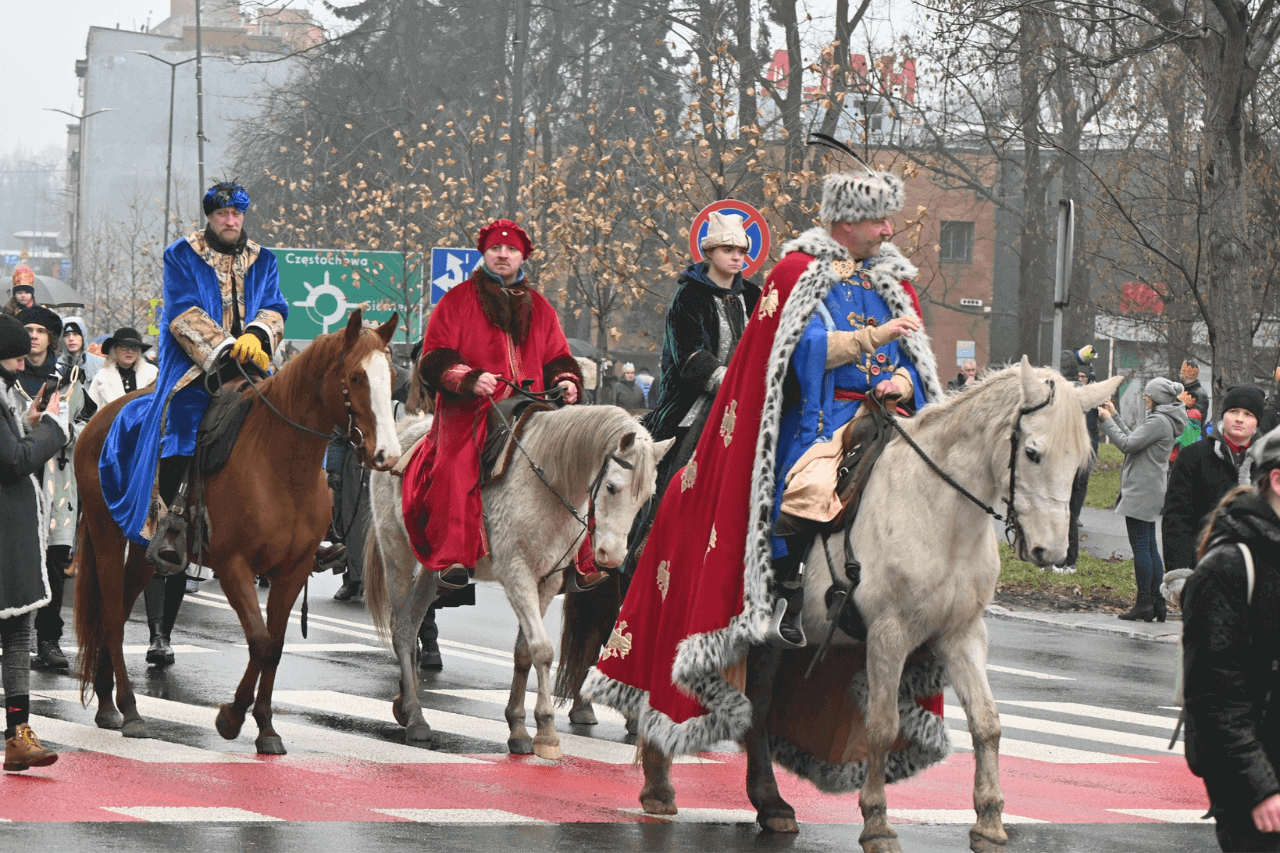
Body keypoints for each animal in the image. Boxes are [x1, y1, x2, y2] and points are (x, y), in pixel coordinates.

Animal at [72, 308, 399, 747]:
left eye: (393, 375)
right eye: (356, 377)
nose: (388, 454)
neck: (281, 466)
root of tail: (96, 420)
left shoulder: (291, 571)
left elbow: (274, 645)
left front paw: (265, 727)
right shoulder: (234, 567)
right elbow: (259, 641)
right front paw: (231, 717)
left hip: (144, 550)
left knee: (121, 611)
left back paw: (108, 703)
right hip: (107, 534)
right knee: (110, 617)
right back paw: (130, 709)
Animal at [366, 404, 675, 758]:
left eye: (648, 496)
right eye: (611, 487)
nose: (611, 555)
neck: (549, 482)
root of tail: (406, 425)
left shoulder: (547, 581)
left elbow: (524, 652)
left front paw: (518, 727)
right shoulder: (518, 575)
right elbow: (542, 650)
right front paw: (547, 732)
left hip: (432, 570)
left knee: (413, 618)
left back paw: (404, 701)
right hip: (397, 556)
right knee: (403, 631)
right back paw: (416, 716)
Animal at [640, 358, 1121, 850]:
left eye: (1081, 461)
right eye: (1033, 453)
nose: (1052, 551)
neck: (941, 514)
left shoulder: (962, 633)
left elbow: (987, 722)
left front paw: (988, 820)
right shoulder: (889, 633)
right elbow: (882, 727)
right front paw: (876, 822)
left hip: (769, 643)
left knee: (758, 701)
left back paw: (771, 803)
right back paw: (658, 784)